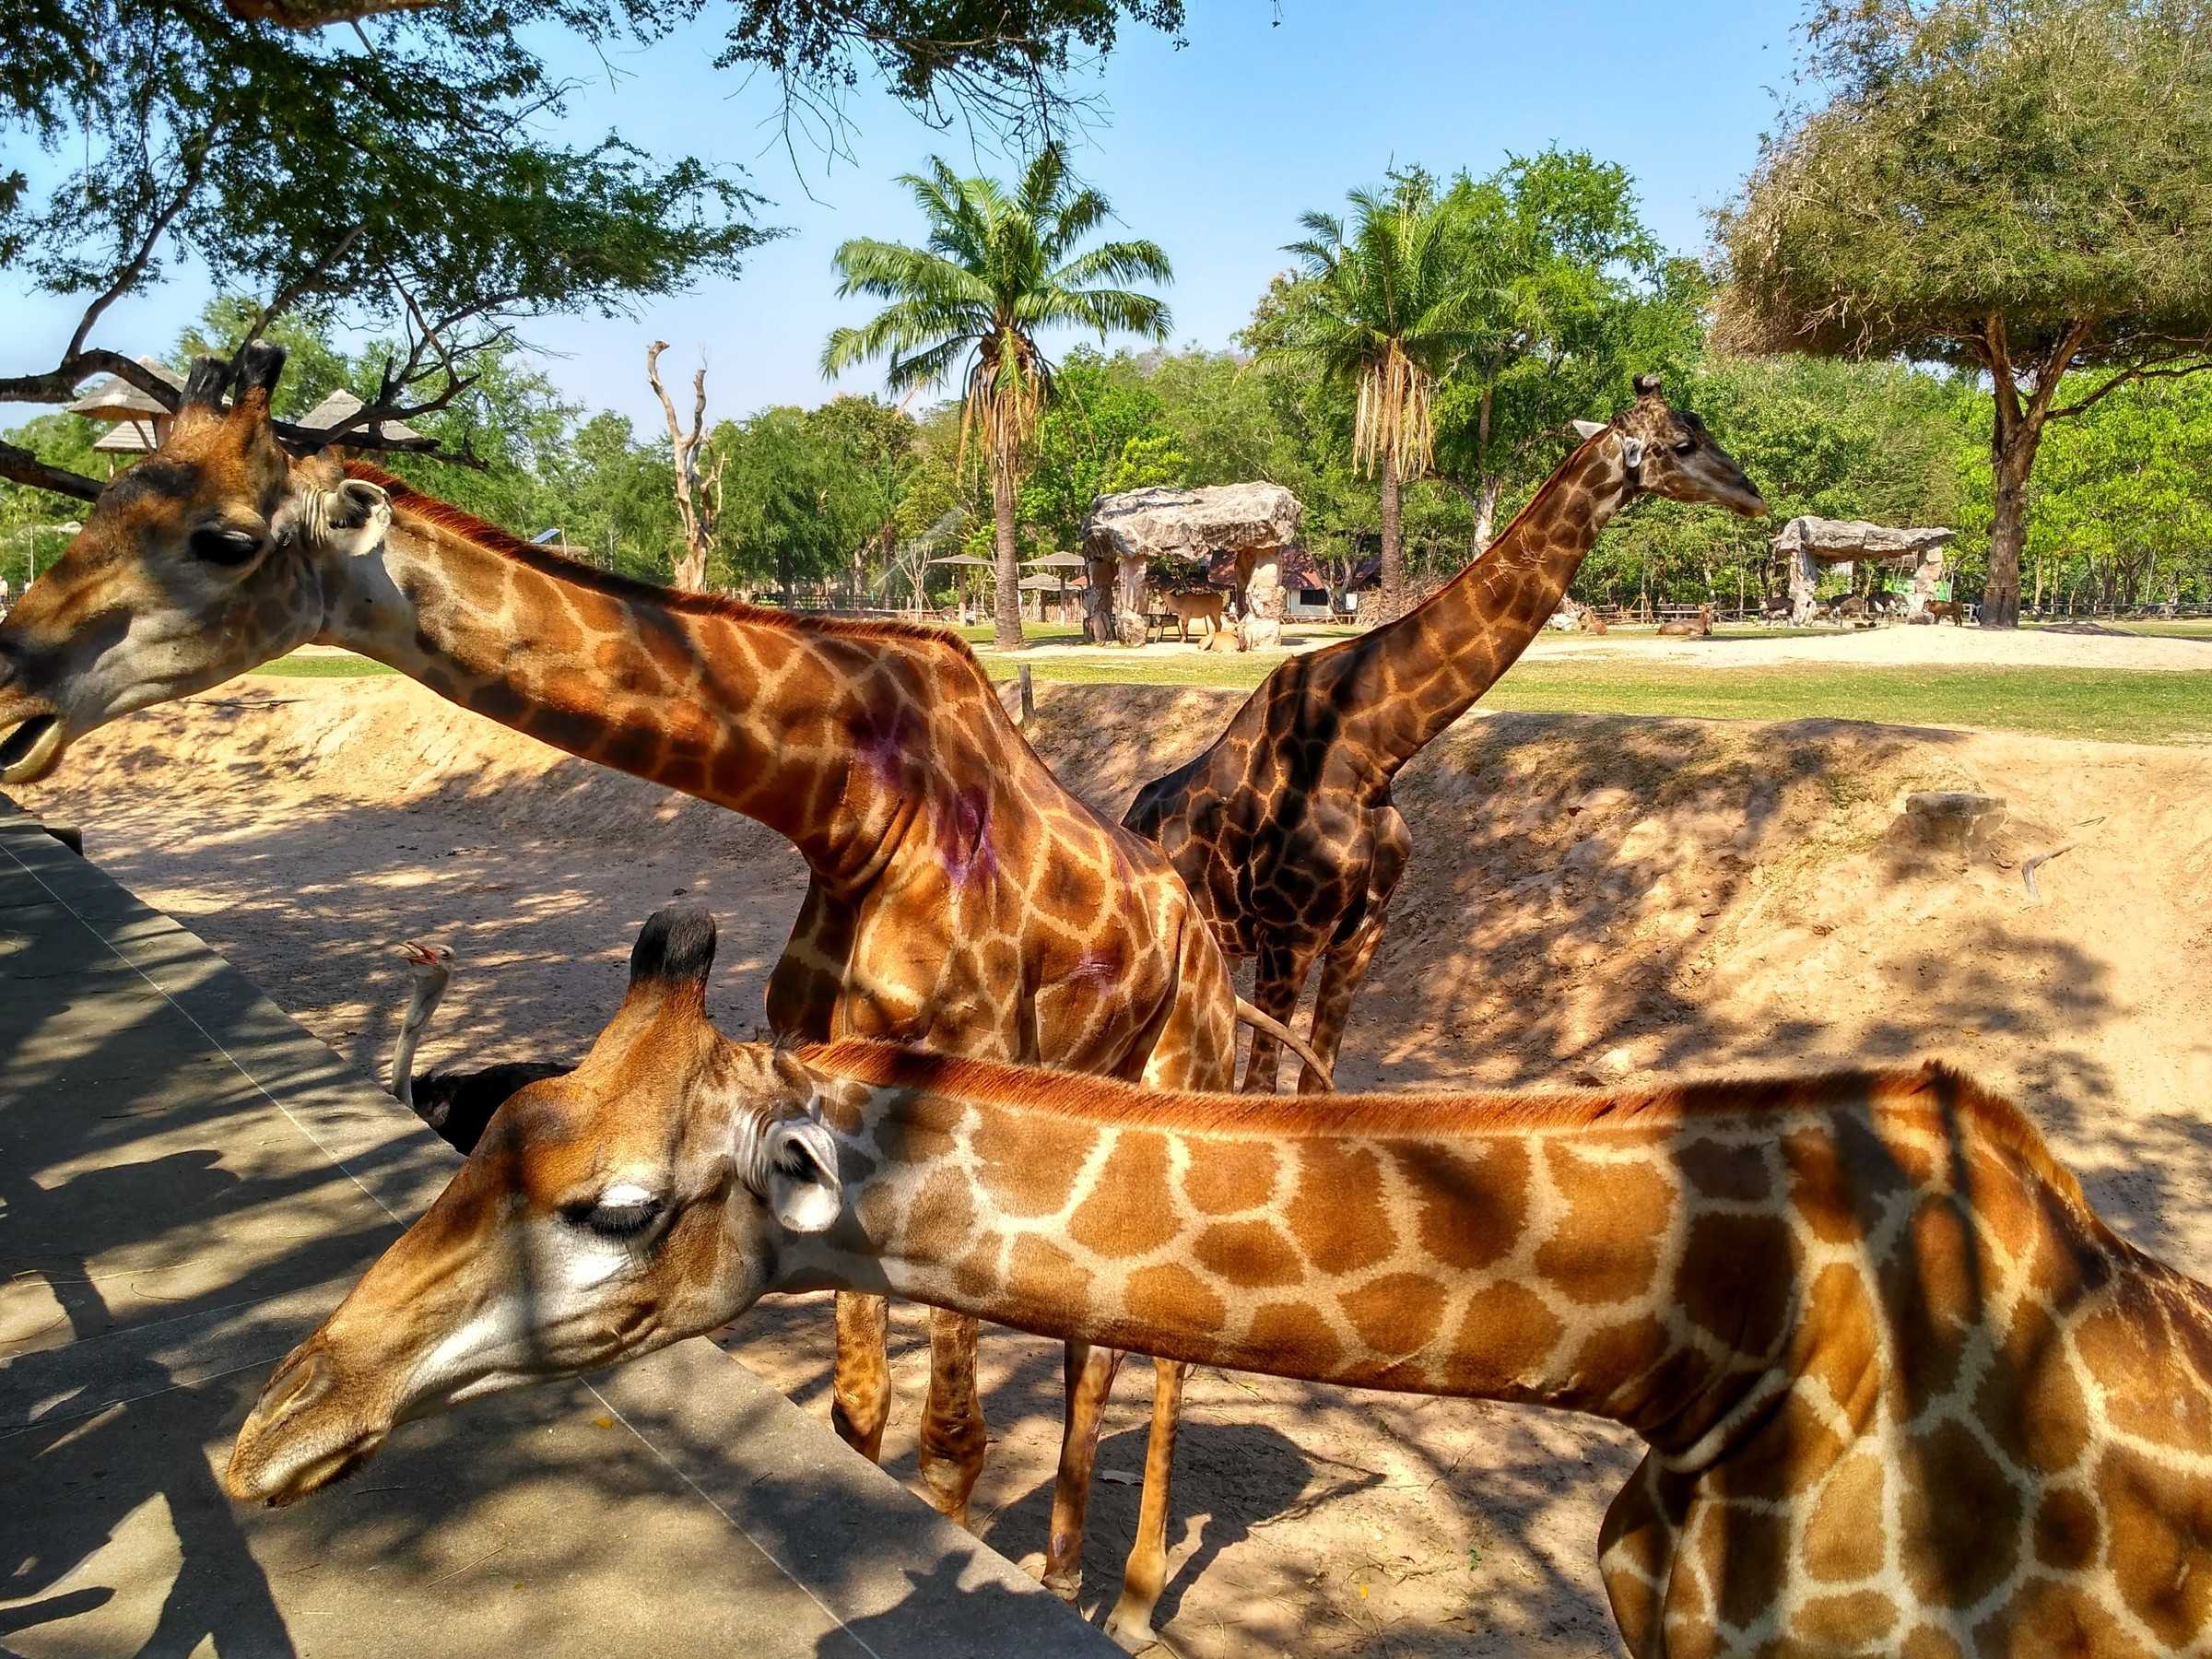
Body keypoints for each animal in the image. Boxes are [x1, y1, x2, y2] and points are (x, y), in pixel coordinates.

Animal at [0, 340, 1327, 1637]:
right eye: (103, 500)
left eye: (220, 538)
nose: (13, 704)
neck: (853, 808)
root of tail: (1209, 952)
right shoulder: (823, 1095)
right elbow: (857, 1414)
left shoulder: (944, 1082)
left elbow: (949, 1442)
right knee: (1093, 1334)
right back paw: (1060, 1568)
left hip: (1187, 1066)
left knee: (1154, 1349)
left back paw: (1138, 1593)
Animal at [1132, 382, 1770, 1097]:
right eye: (1682, 444)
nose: (1753, 496)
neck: (1369, 751)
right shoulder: (1289, 934)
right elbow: (1263, 1087)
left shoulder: (1361, 933)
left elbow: (1319, 1079)